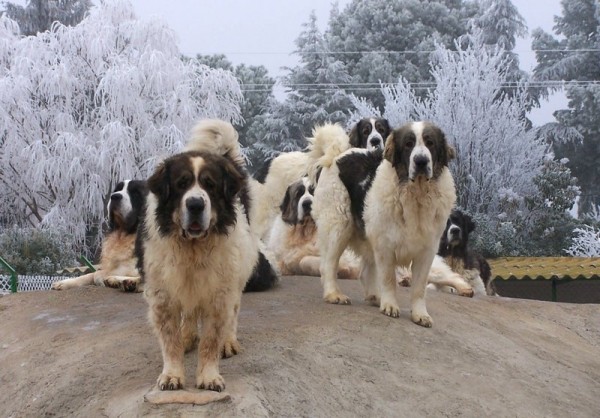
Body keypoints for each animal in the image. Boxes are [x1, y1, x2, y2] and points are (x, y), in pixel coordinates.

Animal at [314, 121, 454, 326]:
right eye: (408, 144)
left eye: (430, 143)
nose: (421, 161)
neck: (416, 193)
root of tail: (338, 155)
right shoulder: (385, 245)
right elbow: (388, 279)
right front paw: (390, 305)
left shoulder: (426, 251)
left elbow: (419, 287)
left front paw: (420, 314)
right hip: (338, 226)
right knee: (328, 264)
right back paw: (334, 294)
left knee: (365, 271)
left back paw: (374, 297)